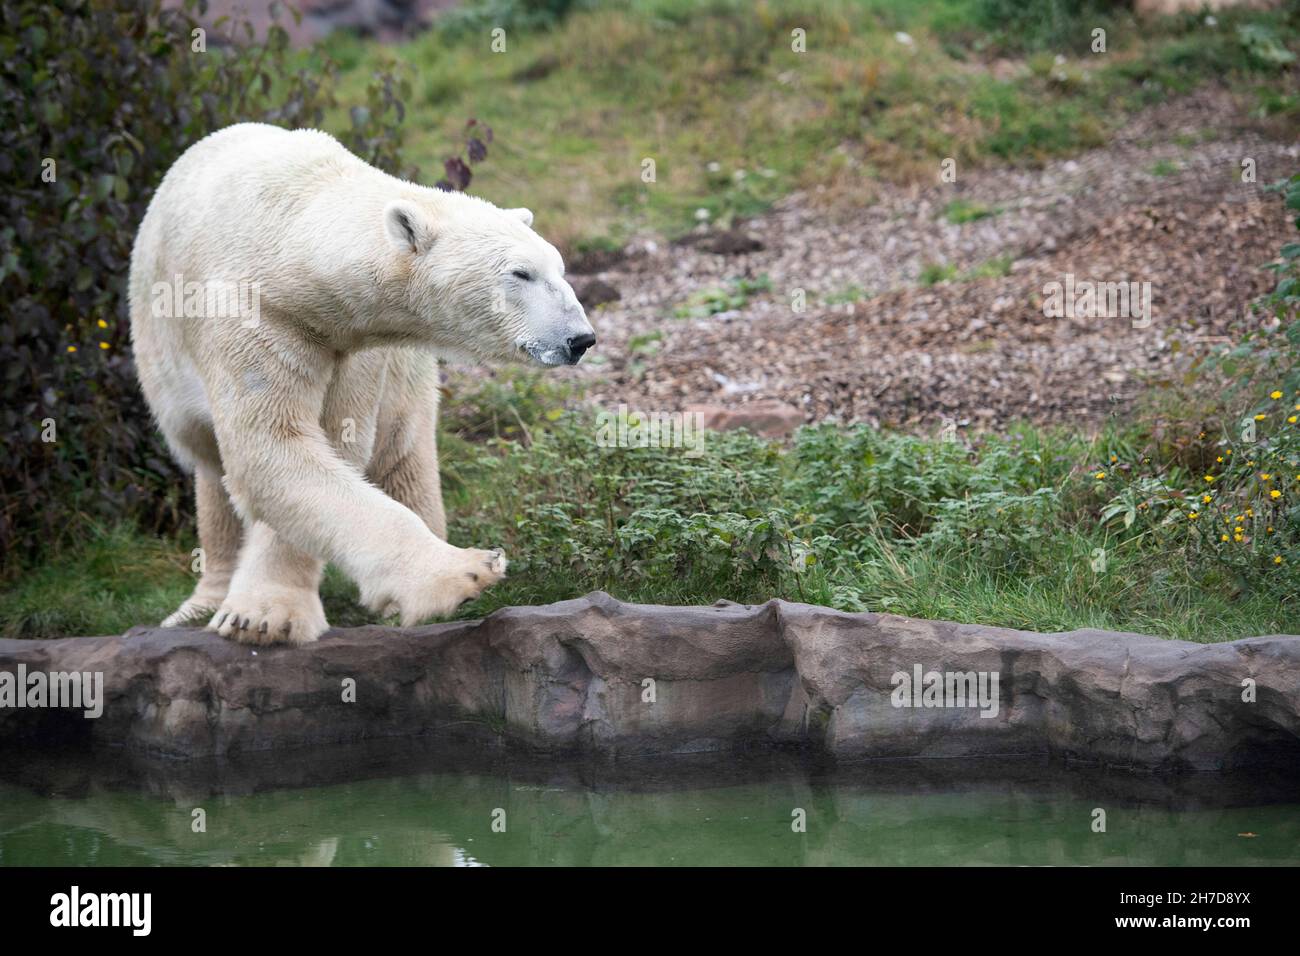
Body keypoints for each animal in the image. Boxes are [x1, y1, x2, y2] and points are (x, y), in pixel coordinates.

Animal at [129, 119, 595, 642]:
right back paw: (201, 602)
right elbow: (273, 447)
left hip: (405, 375)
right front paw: (462, 573)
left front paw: (265, 613)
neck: (289, 230)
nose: (581, 338)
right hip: (160, 355)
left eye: (559, 268)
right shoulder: (253, 314)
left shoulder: (355, 345)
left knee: (404, 449)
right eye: (520, 272)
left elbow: (330, 444)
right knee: (207, 460)